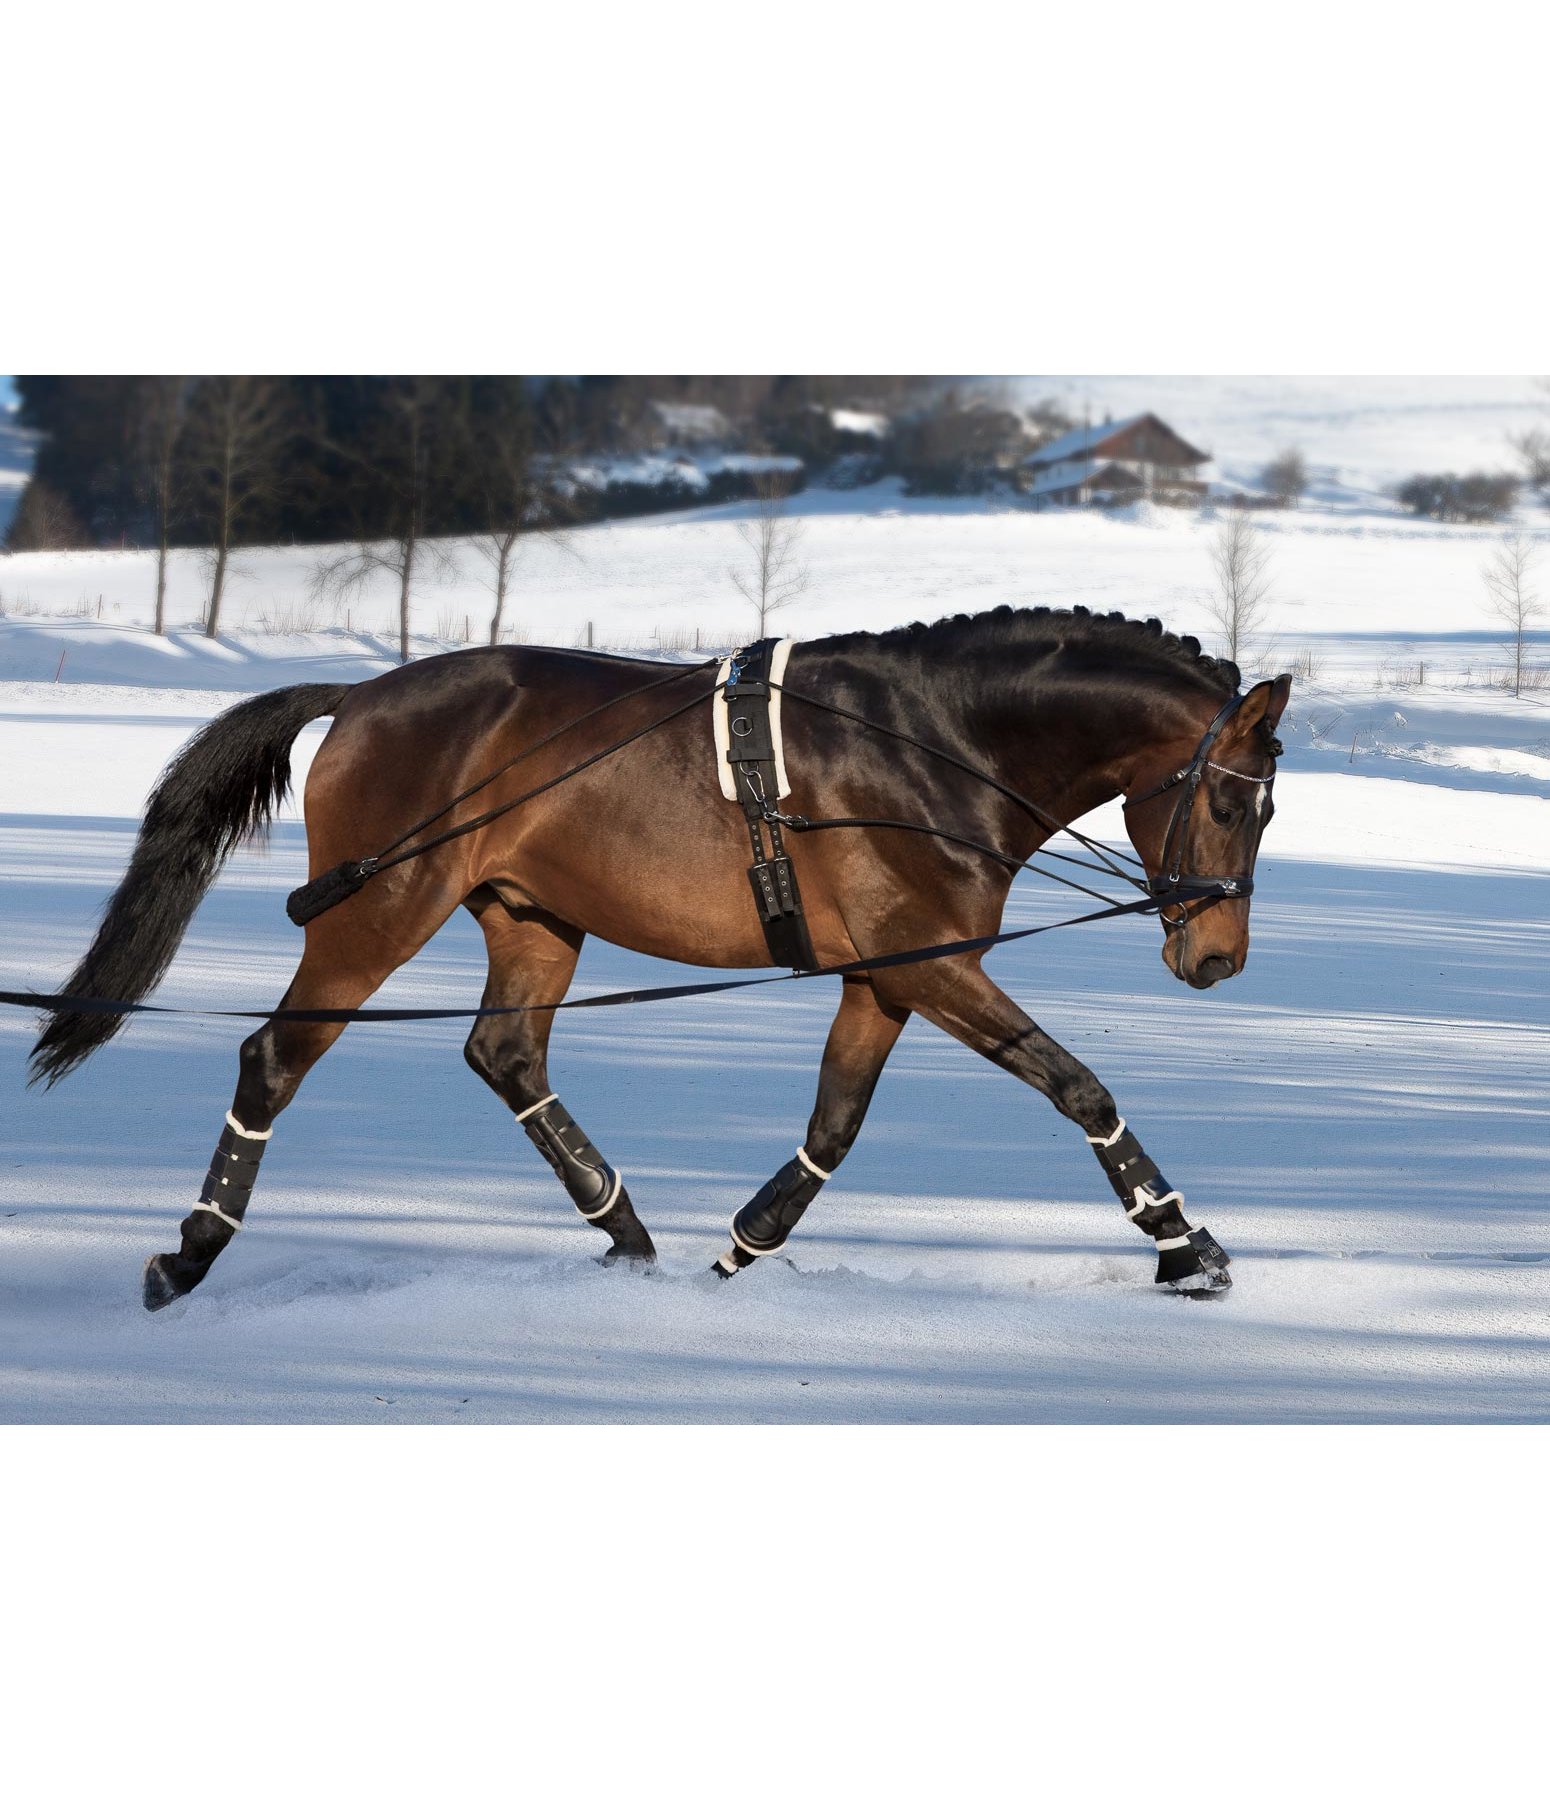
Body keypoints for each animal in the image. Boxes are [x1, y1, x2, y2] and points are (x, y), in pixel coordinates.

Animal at [28, 605, 1290, 1310]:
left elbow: (834, 1127)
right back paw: (188, 1257)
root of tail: (366, 692)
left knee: (505, 1056)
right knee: (273, 1061)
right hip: (377, 914)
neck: (938, 744)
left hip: (533, 919)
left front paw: (740, 1250)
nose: (1217, 958)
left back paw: (626, 1235)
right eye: (1233, 807)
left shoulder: (889, 974)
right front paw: (1185, 1250)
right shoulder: (926, 964)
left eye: (1265, 810)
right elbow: (1077, 1085)